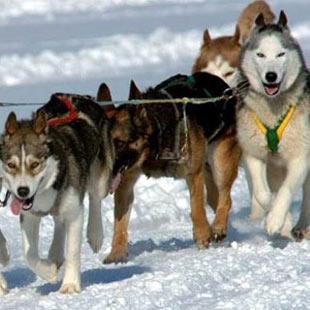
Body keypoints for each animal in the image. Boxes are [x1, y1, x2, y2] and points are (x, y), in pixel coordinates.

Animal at [237, 10, 310, 237]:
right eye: (260, 54)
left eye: (280, 54)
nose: (271, 76)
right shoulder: (253, 155)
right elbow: (263, 194)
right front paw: (280, 216)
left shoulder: (300, 158)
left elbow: (286, 190)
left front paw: (276, 219)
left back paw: (301, 226)